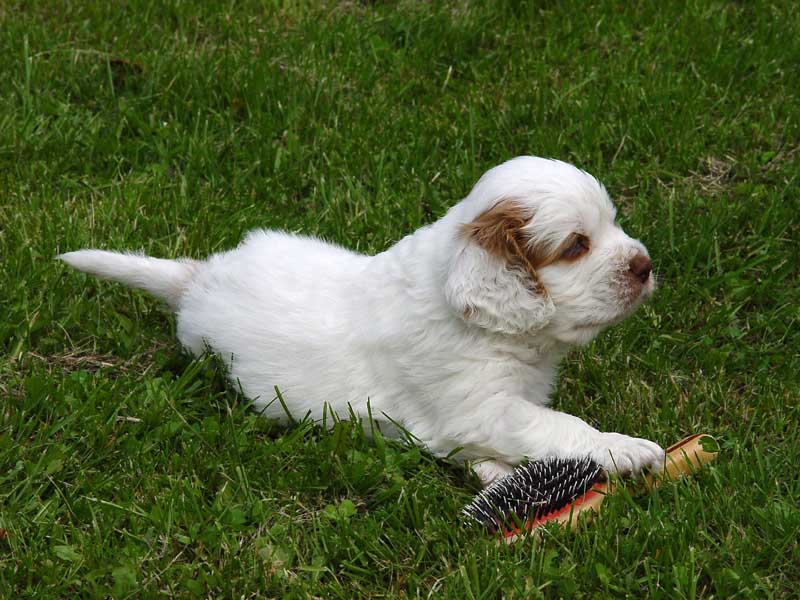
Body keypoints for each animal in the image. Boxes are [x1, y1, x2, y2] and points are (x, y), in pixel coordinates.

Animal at [60, 156, 665, 486]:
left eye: (611, 225)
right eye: (576, 245)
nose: (645, 266)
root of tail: (198, 276)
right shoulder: (479, 408)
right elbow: (559, 427)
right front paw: (628, 449)